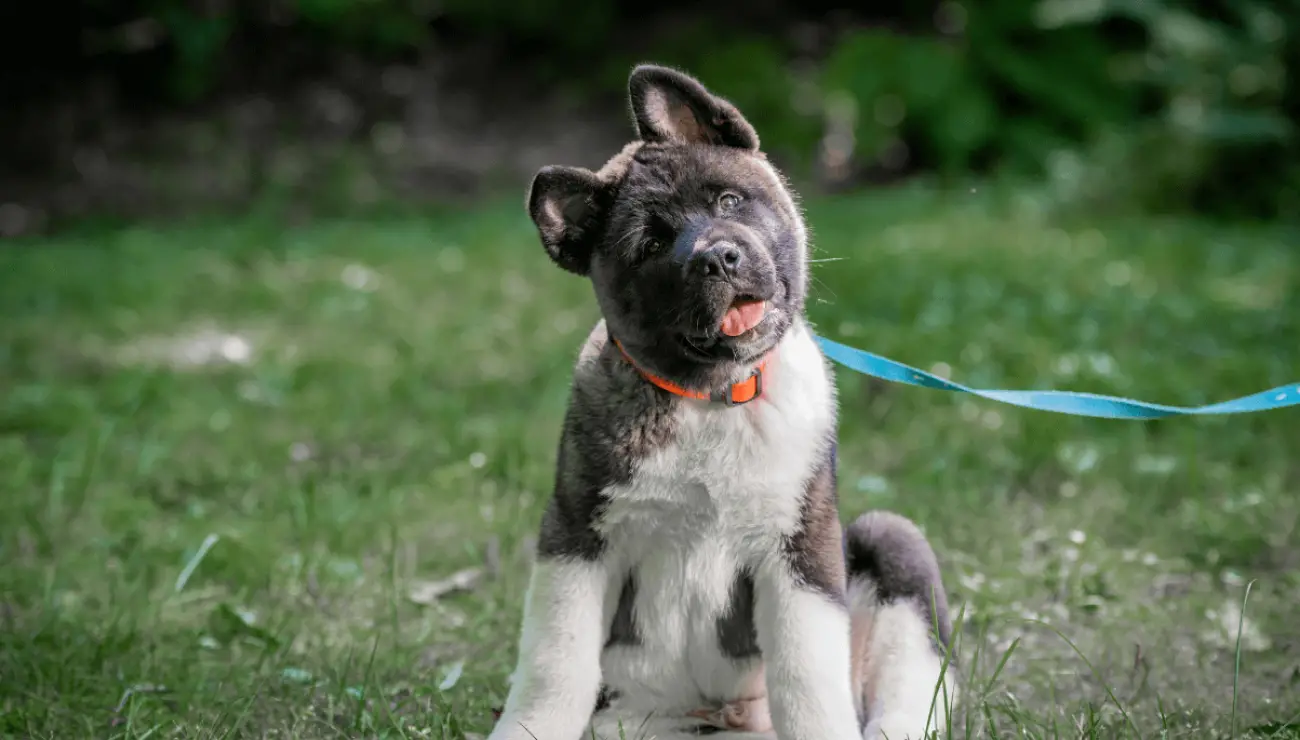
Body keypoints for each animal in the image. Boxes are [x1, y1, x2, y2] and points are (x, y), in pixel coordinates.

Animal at [488, 65, 956, 738]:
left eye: (727, 202)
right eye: (651, 246)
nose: (717, 256)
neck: (714, 396)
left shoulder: (799, 550)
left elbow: (809, 675)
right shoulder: (577, 537)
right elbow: (556, 659)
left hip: (892, 540)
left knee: (914, 678)